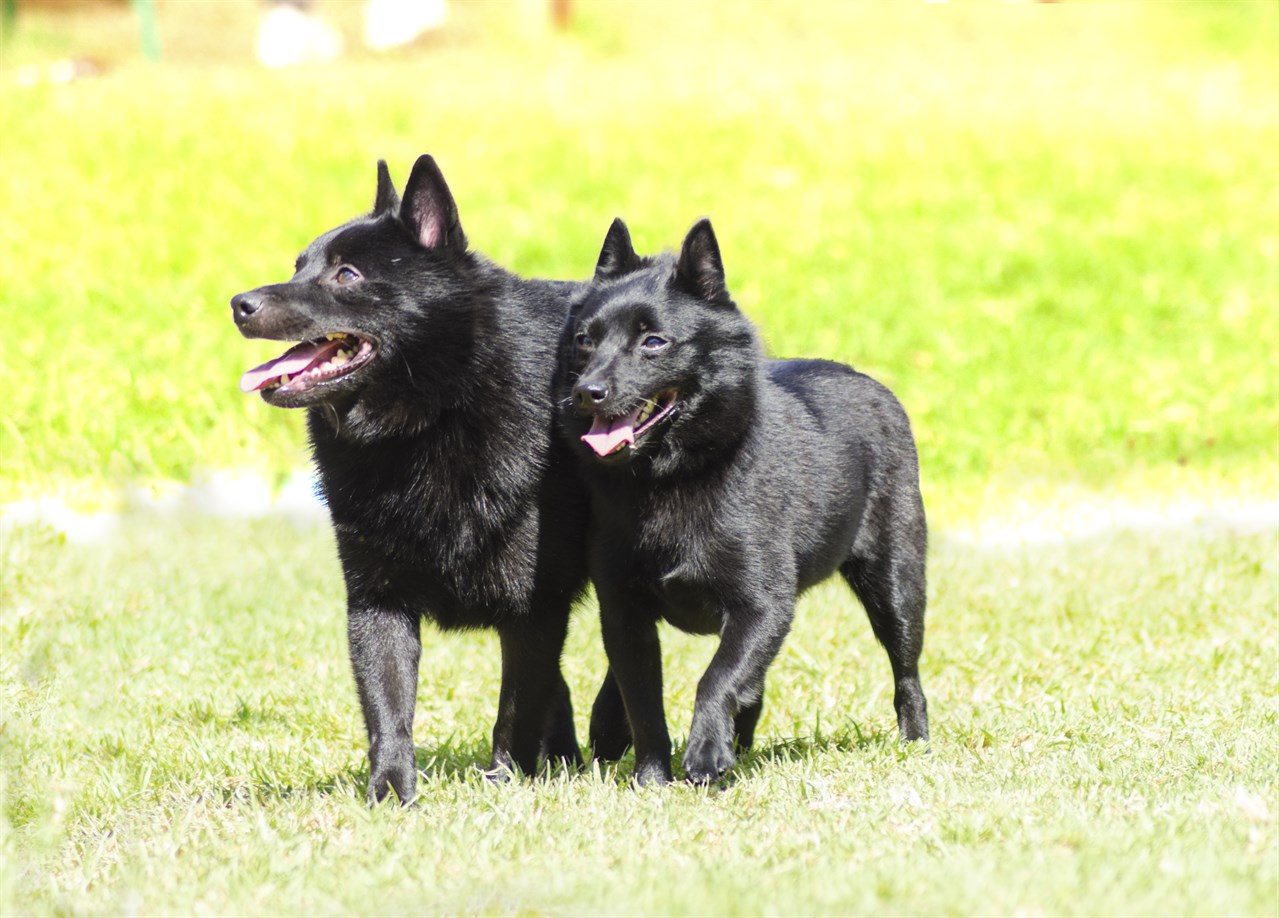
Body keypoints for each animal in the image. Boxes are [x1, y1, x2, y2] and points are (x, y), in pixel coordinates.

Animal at [230, 158, 598, 808]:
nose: (238, 304)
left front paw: (504, 781)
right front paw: (390, 794)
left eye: (348, 274)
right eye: (299, 266)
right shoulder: (376, 601)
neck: (434, 416)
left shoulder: (535, 608)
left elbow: (516, 707)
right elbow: (389, 709)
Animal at [560, 219, 931, 787]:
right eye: (585, 339)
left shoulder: (761, 606)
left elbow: (716, 679)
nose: (587, 392)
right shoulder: (623, 611)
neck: (673, 479)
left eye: (653, 342)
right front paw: (652, 778)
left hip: (896, 584)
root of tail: (871, 384)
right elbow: (643, 700)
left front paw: (705, 754)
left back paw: (916, 743)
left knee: (906, 673)